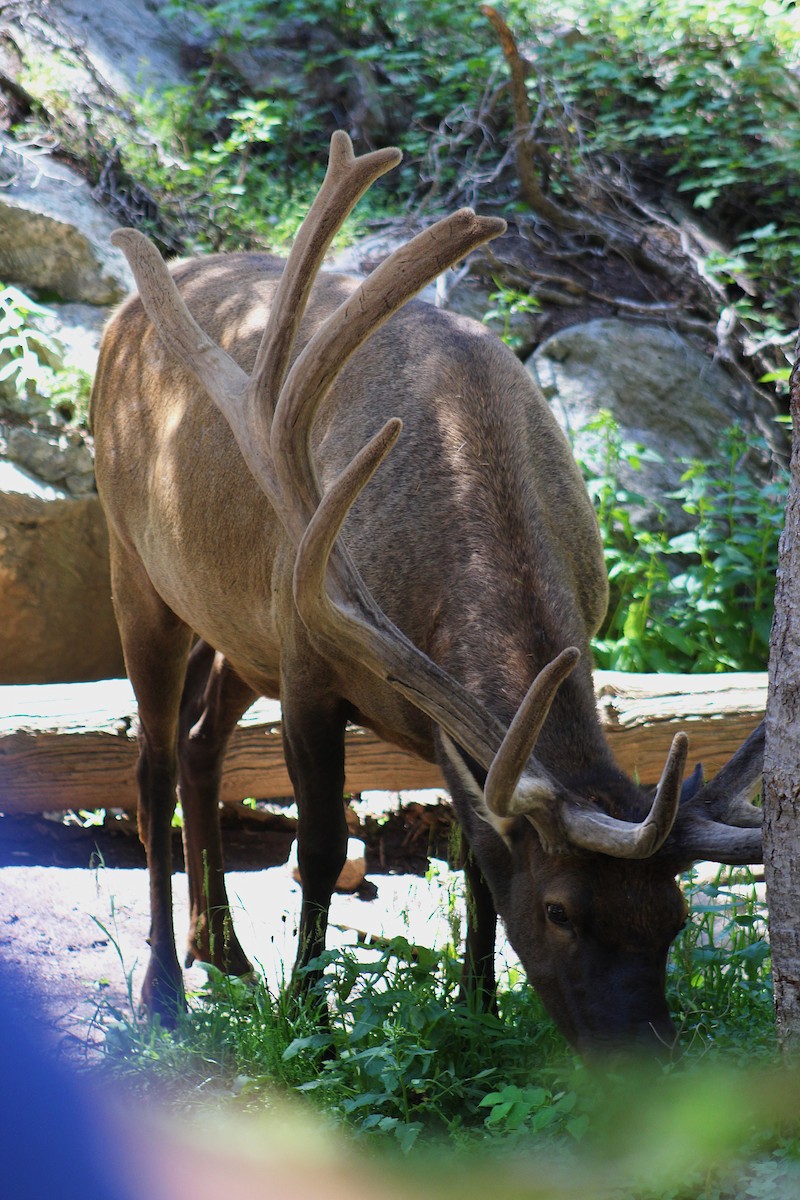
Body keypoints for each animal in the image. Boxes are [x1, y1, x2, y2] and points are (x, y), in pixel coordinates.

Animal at [90, 132, 765, 1056]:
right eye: (562, 911)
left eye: (674, 918)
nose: (652, 1058)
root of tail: (120, 318)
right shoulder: (312, 659)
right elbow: (322, 844)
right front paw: (312, 1020)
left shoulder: (427, 722)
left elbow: (477, 859)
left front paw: (478, 1010)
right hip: (135, 562)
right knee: (152, 762)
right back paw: (164, 989)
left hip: (242, 626)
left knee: (199, 739)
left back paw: (221, 947)